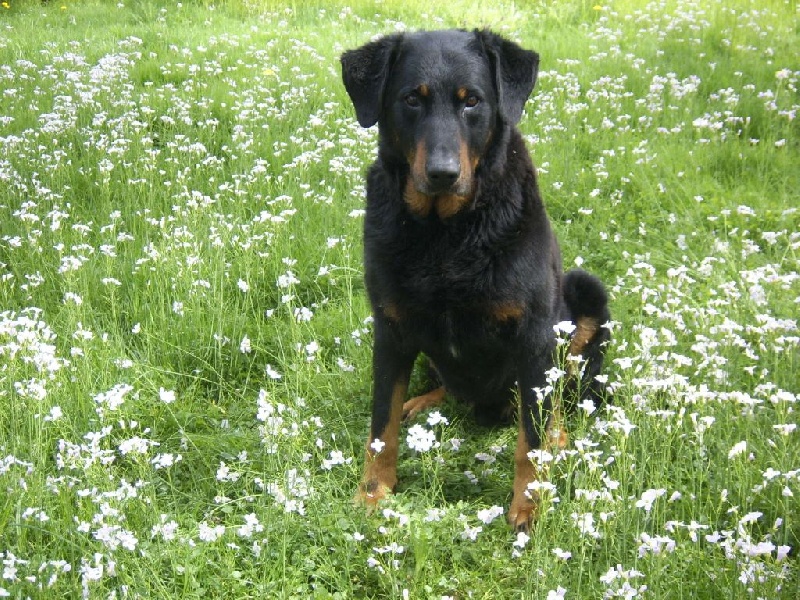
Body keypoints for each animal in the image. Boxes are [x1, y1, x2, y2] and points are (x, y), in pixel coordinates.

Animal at [341, 29, 610, 532]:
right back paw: (422, 401)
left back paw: (560, 433)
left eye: (473, 102)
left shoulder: (533, 336)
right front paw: (373, 494)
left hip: (585, 297)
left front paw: (529, 506)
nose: (442, 174)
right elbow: (381, 426)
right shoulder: (391, 328)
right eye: (412, 99)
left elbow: (530, 441)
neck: (445, 234)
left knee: (563, 401)